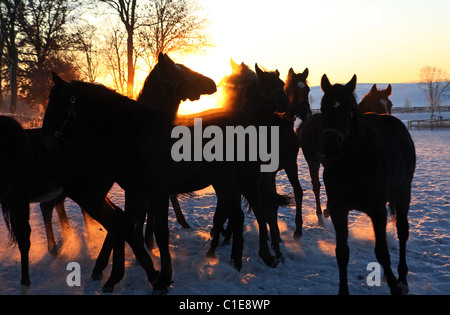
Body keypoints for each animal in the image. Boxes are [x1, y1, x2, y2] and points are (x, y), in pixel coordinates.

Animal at [42, 52, 216, 294]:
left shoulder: (147, 192)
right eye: (177, 70)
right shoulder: (138, 192)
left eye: (55, 103)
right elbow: (131, 224)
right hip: (84, 193)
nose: (211, 84)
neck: (136, 132)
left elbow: (137, 225)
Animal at [298, 84, 396, 220]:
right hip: (312, 160)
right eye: (376, 104)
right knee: (316, 185)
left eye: (390, 104)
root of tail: (307, 122)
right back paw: (320, 214)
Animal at [320, 74, 414, 296]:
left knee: (402, 232)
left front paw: (395, 285)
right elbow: (342, 253)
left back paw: (402, 278)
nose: (330, 149)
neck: (353, 165)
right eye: (323, 107)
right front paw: (343, 291)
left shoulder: (377, 211)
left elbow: (382, 253)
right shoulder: (337, 210)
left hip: (403, 194)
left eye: (348, 110)